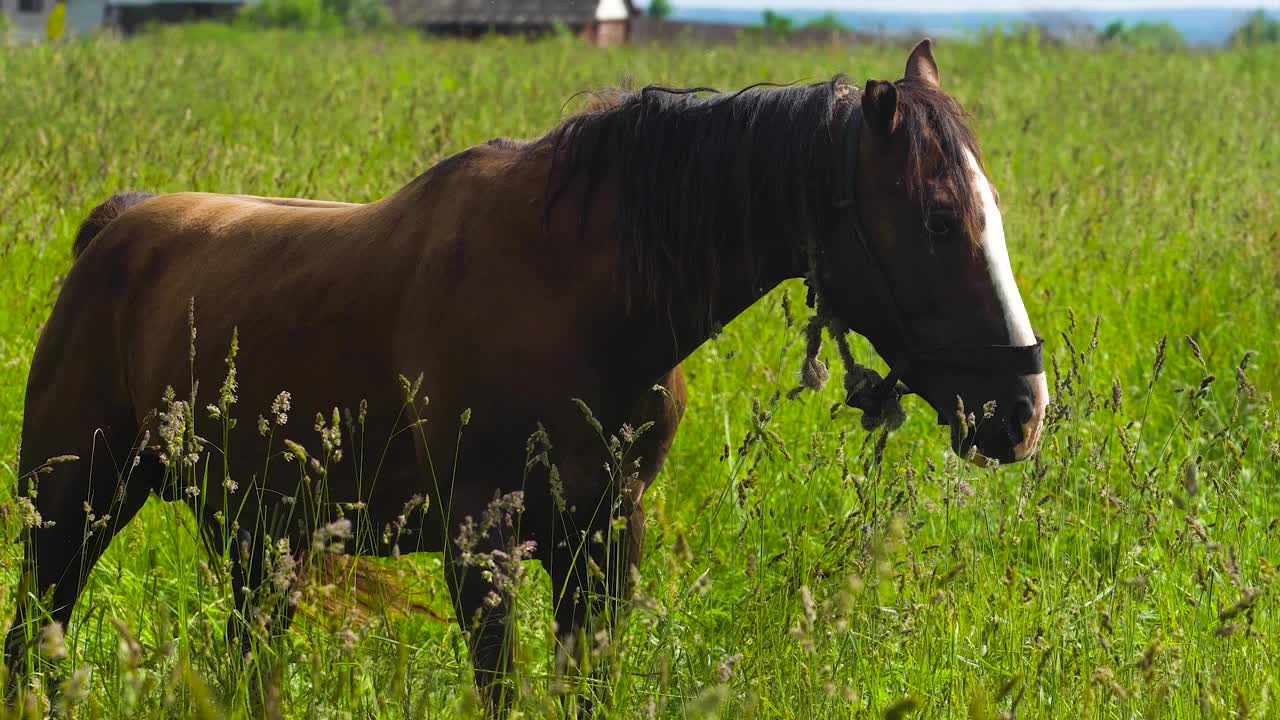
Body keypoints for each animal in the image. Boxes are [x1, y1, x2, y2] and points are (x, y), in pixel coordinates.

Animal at [5, 41, 1049, 707]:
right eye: (937, 220)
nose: (1021, 410)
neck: (580, 297)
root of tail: (115, 224)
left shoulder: (606, 539)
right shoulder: (485, 544)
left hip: (259, 538)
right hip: (70, 507)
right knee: (32, 637)